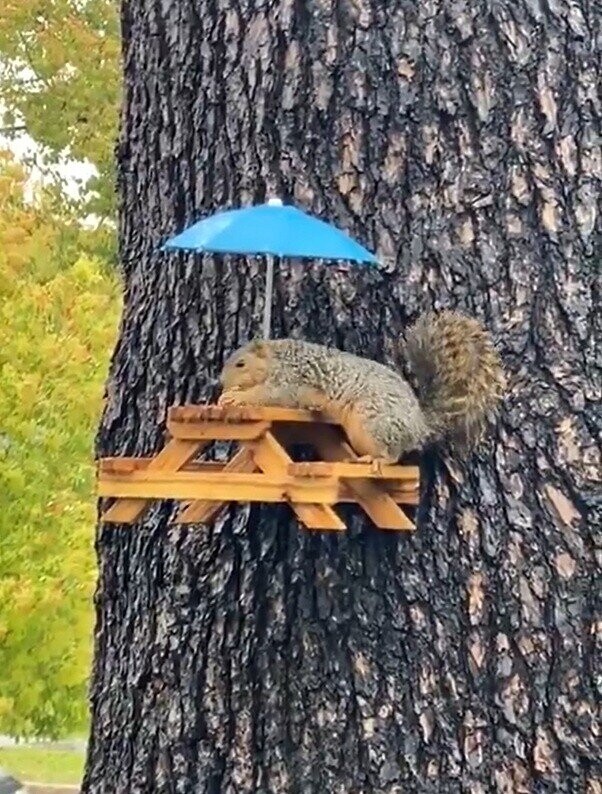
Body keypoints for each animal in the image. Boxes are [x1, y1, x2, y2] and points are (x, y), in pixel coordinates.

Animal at [218, 311, 505, 468]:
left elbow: (270, 395)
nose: (221, 383)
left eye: (240, 363)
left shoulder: (290, 380)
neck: (276, 359)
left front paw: (235, 396)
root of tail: (420, 426)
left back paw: (376, 461)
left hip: (373, 422)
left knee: (393, 455)